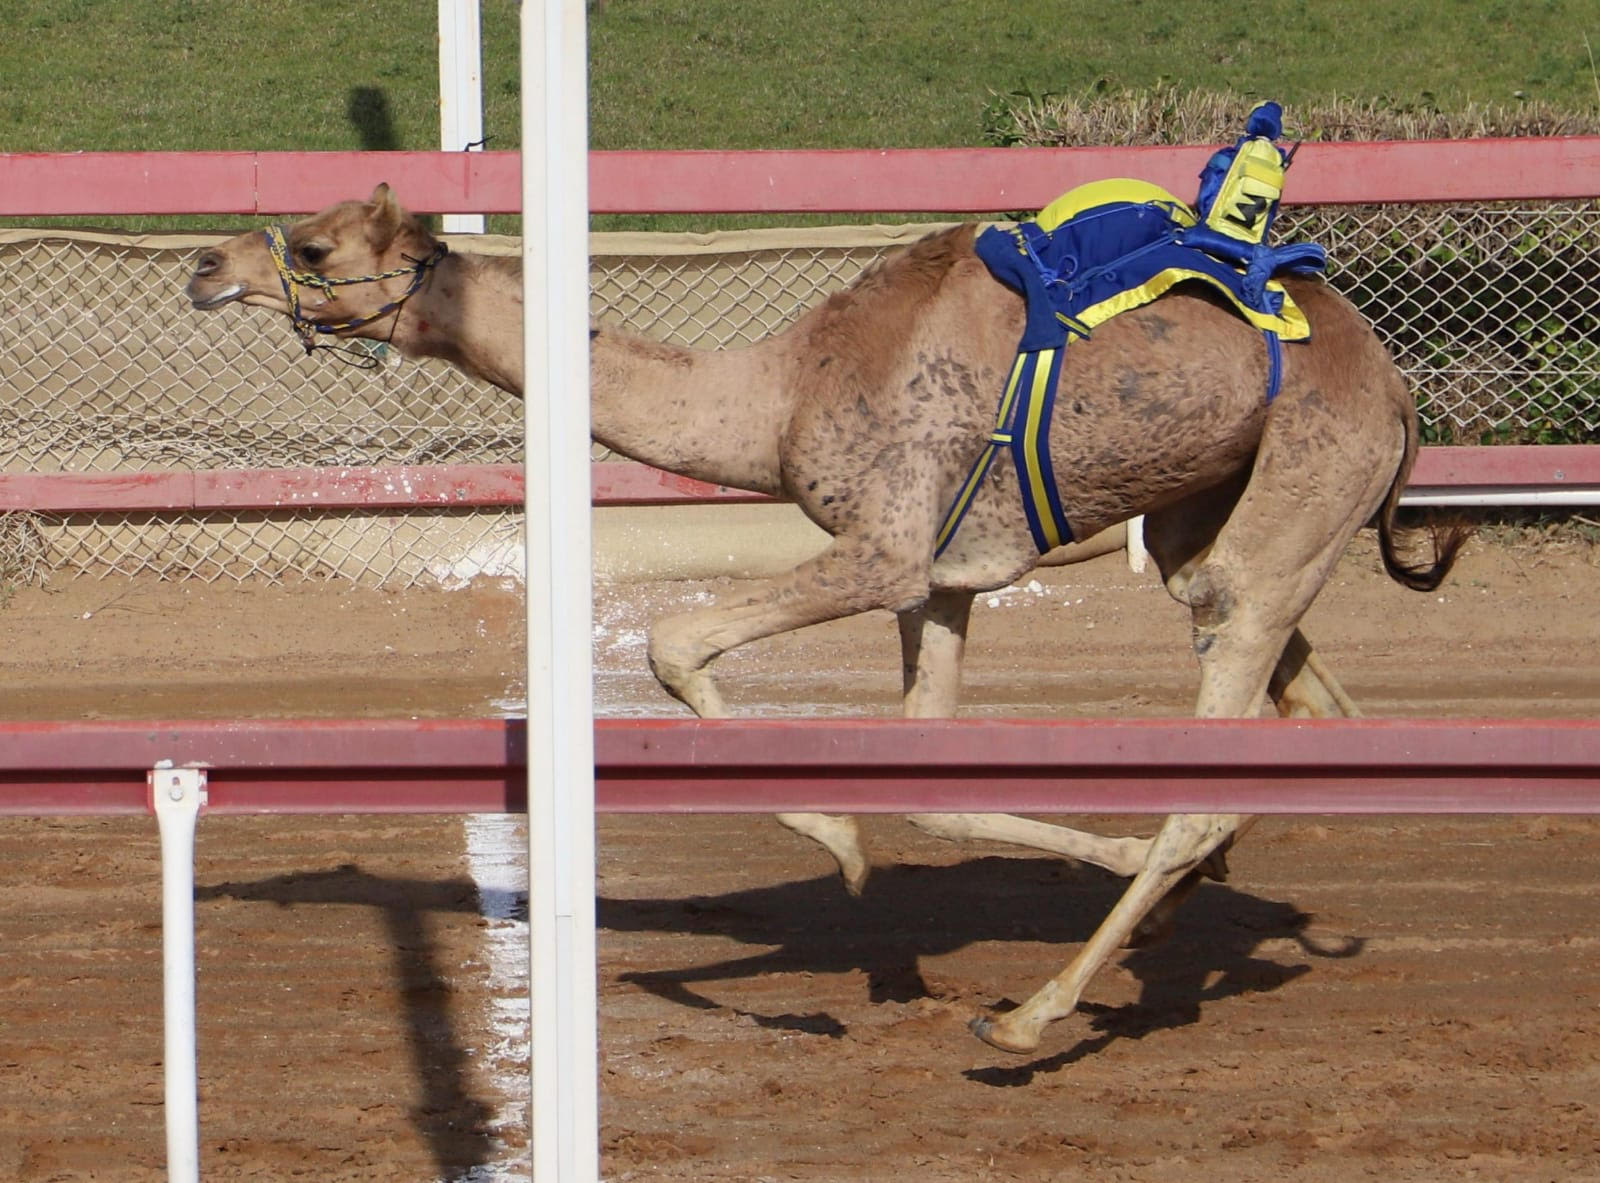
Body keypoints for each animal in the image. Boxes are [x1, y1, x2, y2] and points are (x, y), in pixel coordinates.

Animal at [187, 184, 1465, 1056]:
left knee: (1221, 733)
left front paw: (841, 853)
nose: (203, 263)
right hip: (1217, 515)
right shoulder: (944, 578)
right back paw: (1189, 904)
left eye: (314, 246)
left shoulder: (885, 550)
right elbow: (927, 774)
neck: (777, 391)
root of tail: (1400, 391)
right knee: (1304, 711)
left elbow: (672, 643)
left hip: (1296, 495)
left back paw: (1036, 1011)